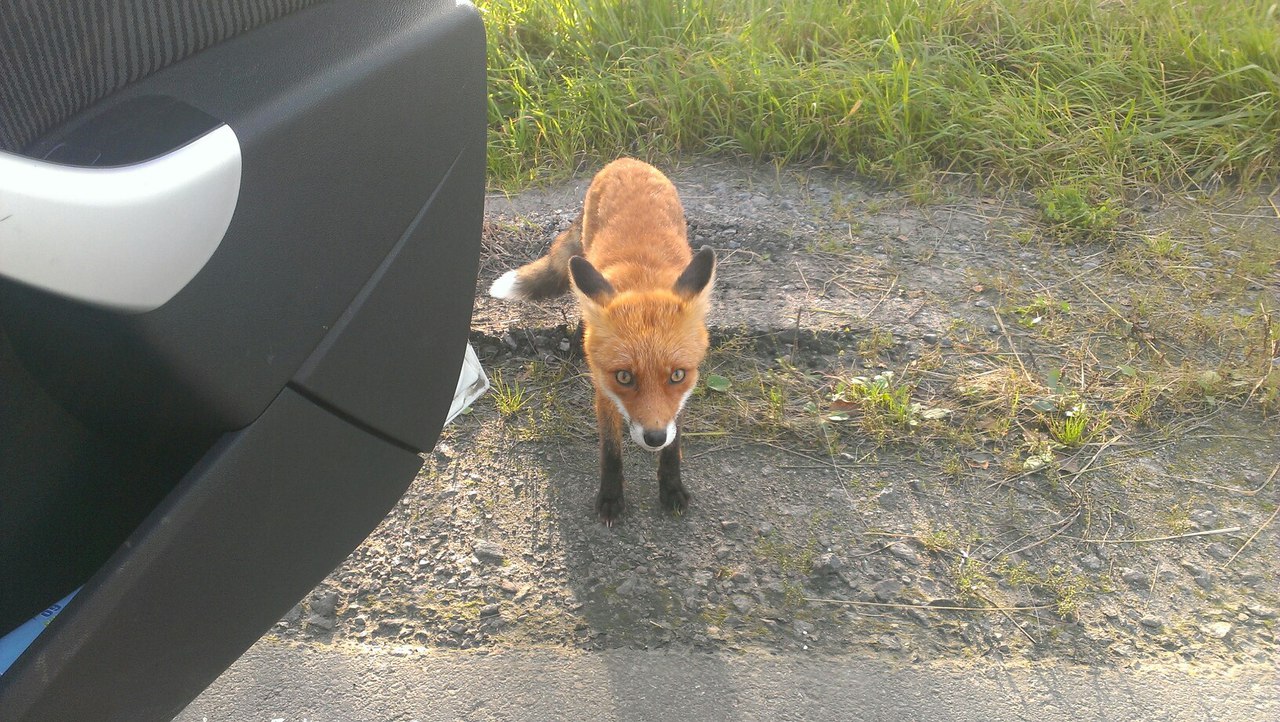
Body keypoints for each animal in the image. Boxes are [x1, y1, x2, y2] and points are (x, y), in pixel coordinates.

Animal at [488, 158, 716, 524]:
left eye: (677, 375)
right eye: (624, 376)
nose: (654, 437)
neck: (642, 280)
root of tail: (625, 160)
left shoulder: (680, 400)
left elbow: (674, 448)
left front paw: (671, 488)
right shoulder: (604, 390)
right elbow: (610, 450)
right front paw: (610, 496)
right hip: (584, 261)